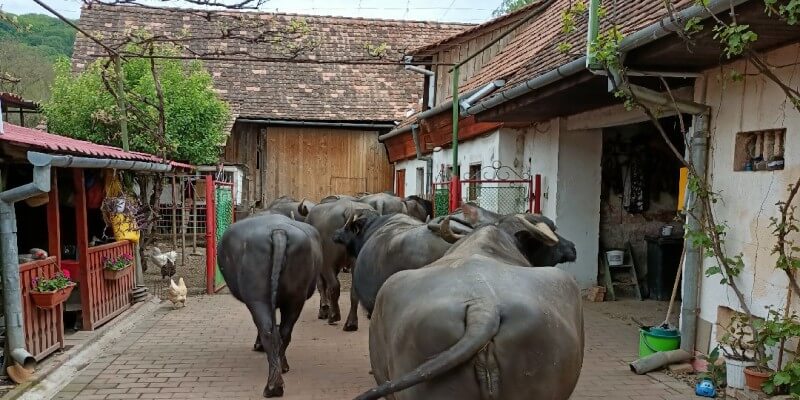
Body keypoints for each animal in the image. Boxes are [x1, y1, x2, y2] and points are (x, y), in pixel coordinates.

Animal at [219, 214, 322, 396]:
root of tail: (278, 231)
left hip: (258, 299)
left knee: (268, 331)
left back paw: (272, 387)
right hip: (295, 299)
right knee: (284, 332)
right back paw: (281, 372)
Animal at [302, 197, 374, 328]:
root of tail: (349, 209)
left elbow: (322, 286)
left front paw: (324, 309)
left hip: (327, 263)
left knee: (334, 286)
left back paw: (333, 316)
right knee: (354, 290)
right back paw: (351, 323)